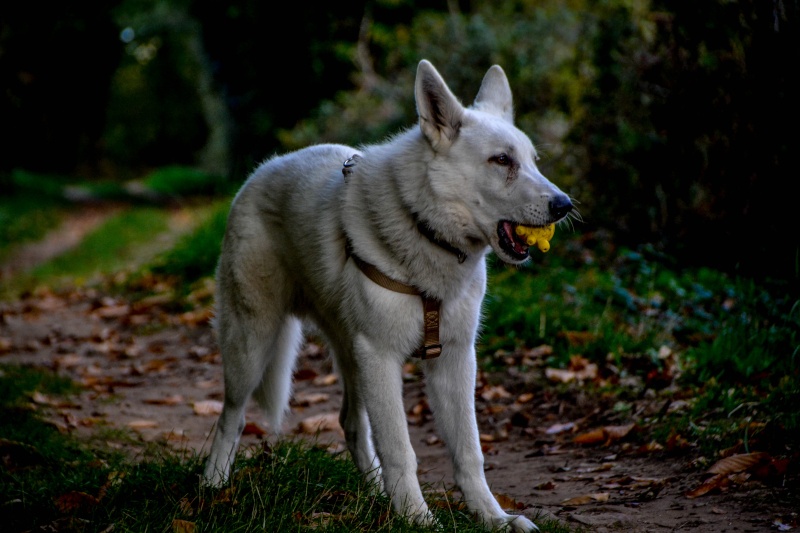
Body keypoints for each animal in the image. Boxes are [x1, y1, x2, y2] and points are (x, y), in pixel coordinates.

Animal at [203, 60, 572, 528]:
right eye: (502, 160)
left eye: (533, 162)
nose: (565, 205)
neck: (426, 230)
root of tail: (258, 174)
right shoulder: (382, 358)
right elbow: (401, 450)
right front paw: (418, 520)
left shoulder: (454, 360)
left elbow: (468, 453)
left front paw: (493, 519)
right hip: (253, 344)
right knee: (230, 417)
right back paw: (213, 487)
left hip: (352, 359)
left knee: (351, 423)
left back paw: (377, 495)